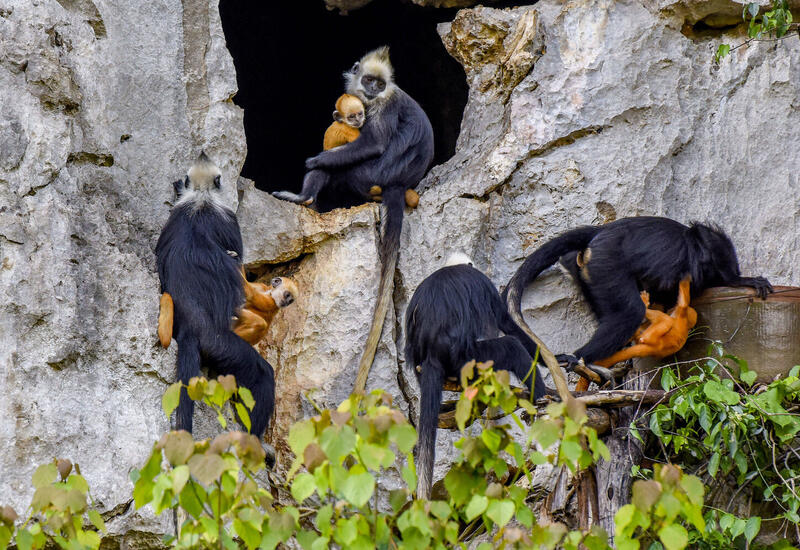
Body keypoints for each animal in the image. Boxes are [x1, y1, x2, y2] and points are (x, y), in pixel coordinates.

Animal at [155, 154, 276, 440]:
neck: (202, 197)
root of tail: (191, 328)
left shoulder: (175, 217)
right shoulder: (228, 217)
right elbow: (238, 260)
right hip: (220, 346)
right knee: (262, 376)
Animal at [274, 46, 434, 392]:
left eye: (379, 83)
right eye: (369, 80)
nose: (372, 89)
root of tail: (399, 182)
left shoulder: (383, 106)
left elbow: (372, 142)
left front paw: (315, 160)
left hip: (369, 174)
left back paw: (306, 197)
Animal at [410, 254, 548, 500]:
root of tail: (432, 353)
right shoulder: (482, 282)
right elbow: (506, 323)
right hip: (470, 361)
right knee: (511, 346)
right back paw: (542, 399)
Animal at [504, 218, 772, 374]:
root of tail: (602, 232)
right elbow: (713, 249)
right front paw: (742, 280)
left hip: (589, 272)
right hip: (606, 264)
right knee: (630, 312)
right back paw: (579, 357)